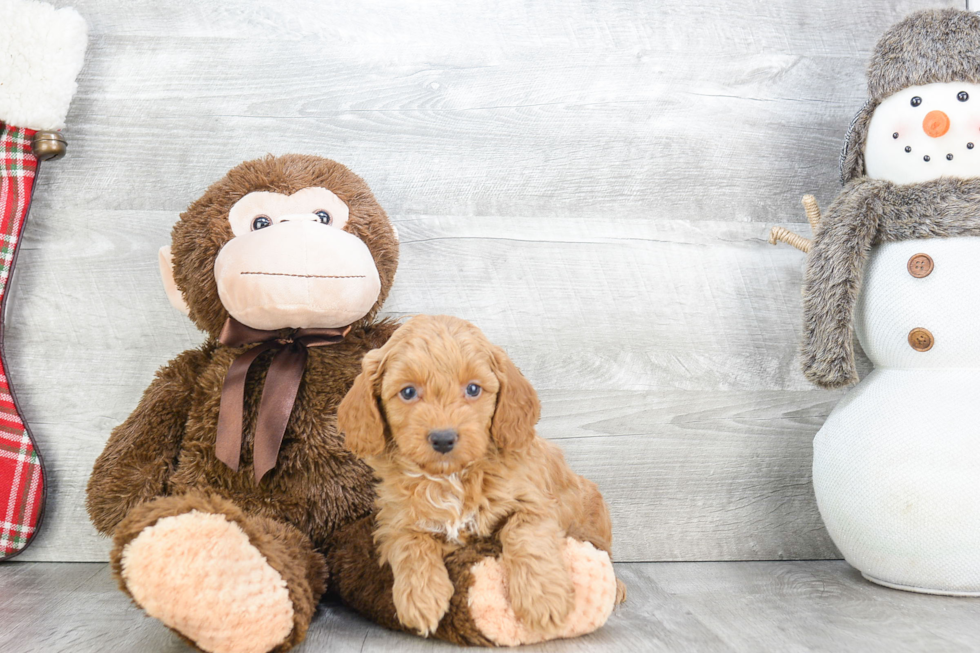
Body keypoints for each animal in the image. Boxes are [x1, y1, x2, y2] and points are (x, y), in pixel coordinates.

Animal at [340, 316, 624, 636]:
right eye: (408, 392)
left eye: (473, 389)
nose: (443, 439)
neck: (451, 477)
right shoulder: (395, 520)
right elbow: (410, 543)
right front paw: (421, 598)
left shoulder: (536, 503)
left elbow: (524, 533)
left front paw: (542, 597)